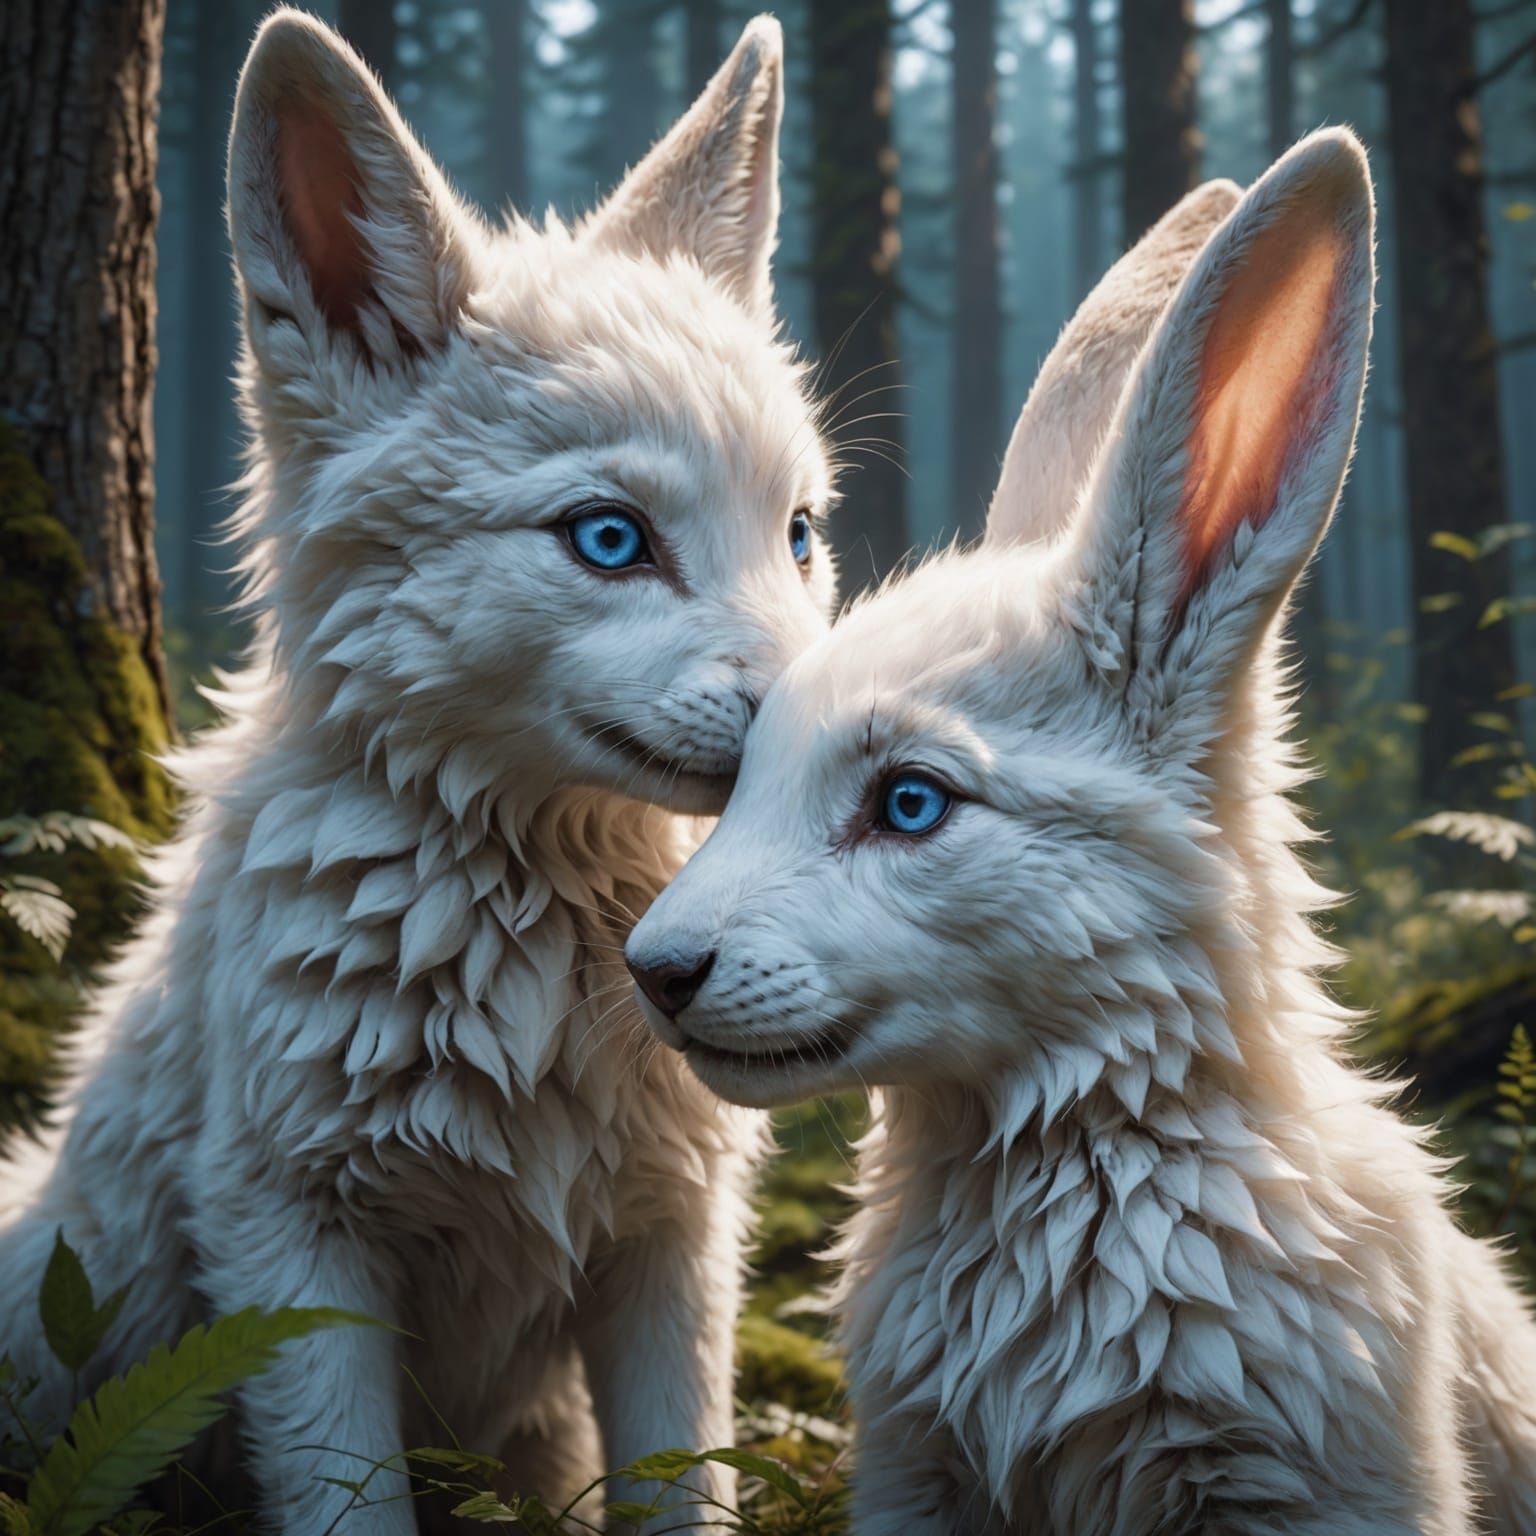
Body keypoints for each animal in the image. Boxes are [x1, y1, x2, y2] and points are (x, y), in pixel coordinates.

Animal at [0, 10, 839, 1530]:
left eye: (797, 533)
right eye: (610, 539)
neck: (522, 940)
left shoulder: (672, 1246)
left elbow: (683, 1483)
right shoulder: (293, 1252)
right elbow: (352, 1497)